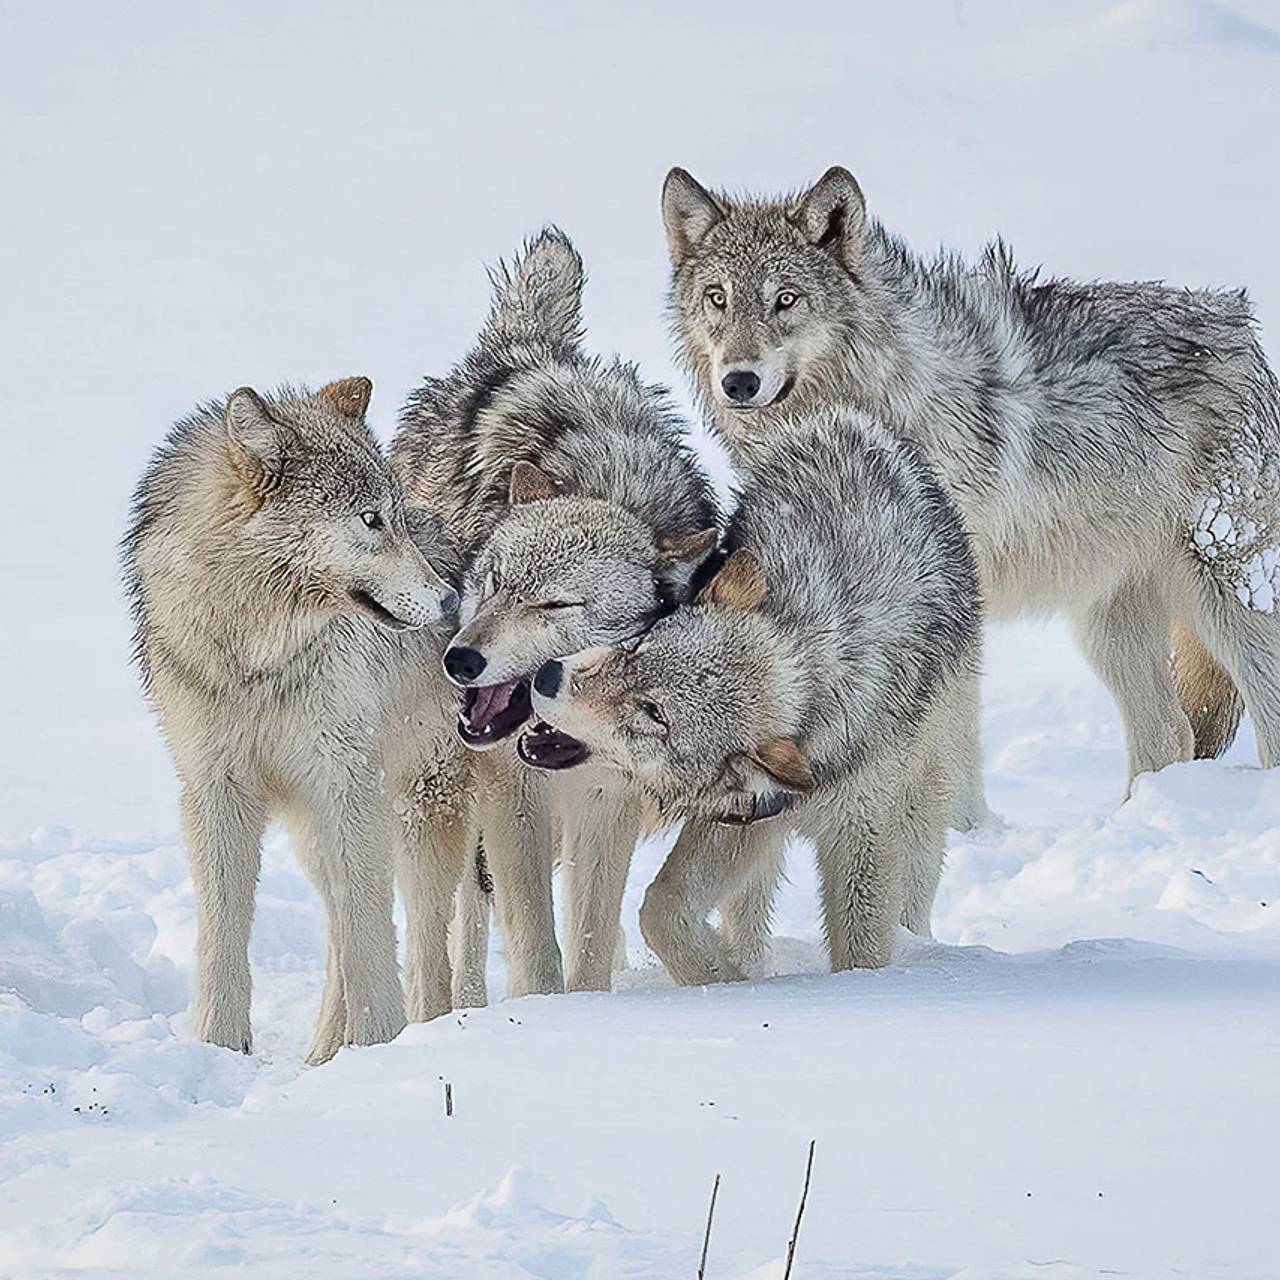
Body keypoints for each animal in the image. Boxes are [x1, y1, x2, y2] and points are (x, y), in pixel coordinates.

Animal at [120, 376, 465, 1059]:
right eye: (370, 519)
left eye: (399, 517)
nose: (451, 600)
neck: (257, 657)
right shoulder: (215, 788)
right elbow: (222, 934)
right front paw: (219, 1046)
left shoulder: (344, 778)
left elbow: (368, 934)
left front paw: (380, 1044)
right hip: (319, 831)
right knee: (337, 927)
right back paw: (324, 1052)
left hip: (414, 813)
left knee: (413, 936)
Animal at [394, 235, 721, 1003]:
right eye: (491, 582)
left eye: (556, 606)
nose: (460, 659)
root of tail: (522, 345)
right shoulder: (512, 793)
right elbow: (534, 942)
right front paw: (538, 1014)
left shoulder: (609, 793)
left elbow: (591, 939)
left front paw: (583, 1010)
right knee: (467, 909)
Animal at [660, 166, 1280, 788]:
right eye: (718, 298)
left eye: (785, 299)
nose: (739, 381)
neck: (862, 402)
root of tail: (1246, 335)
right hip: (1105, 620)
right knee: (1169, 736)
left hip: (1228, 604)